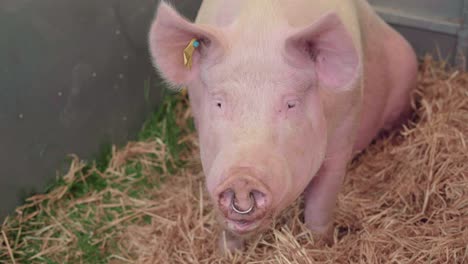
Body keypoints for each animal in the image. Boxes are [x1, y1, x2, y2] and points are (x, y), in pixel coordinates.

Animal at [147, 0, 416, 252]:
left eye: (291, 104)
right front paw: (227, 253)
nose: (242, 178)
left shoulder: (345, 131)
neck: (262, 27)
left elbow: (321, 202)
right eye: (219, 102)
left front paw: (320, 245)